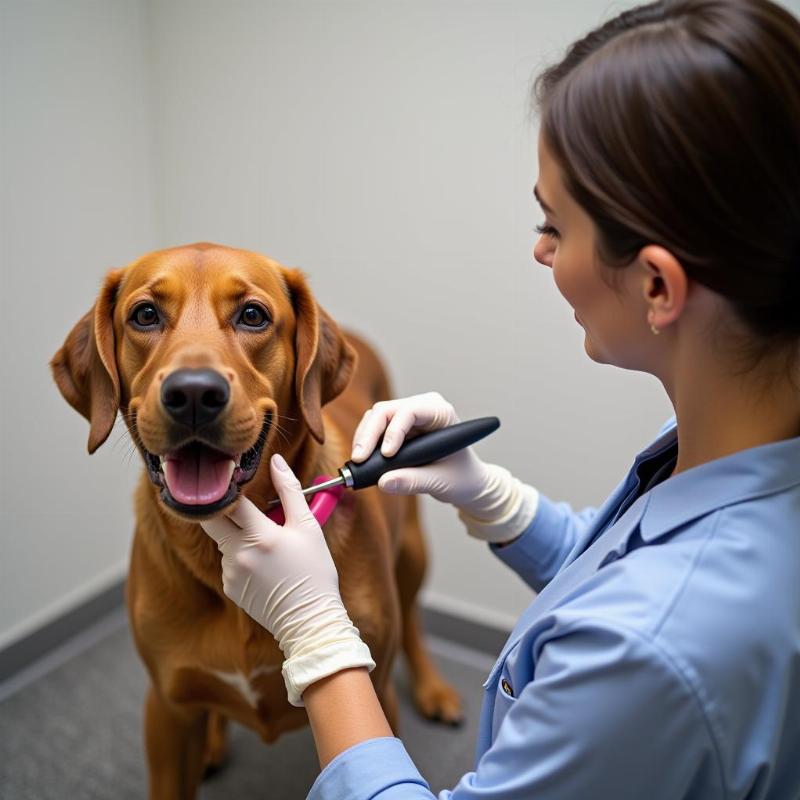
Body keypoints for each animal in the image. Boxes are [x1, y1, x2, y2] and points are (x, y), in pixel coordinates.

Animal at [50, 244, 462, 800]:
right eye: (145, 315)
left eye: (252, 315)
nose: (193, 393)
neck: (223, 546)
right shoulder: (166, 712)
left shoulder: (378, 696)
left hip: (414, 550)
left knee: (415, 616)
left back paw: (433, 688)